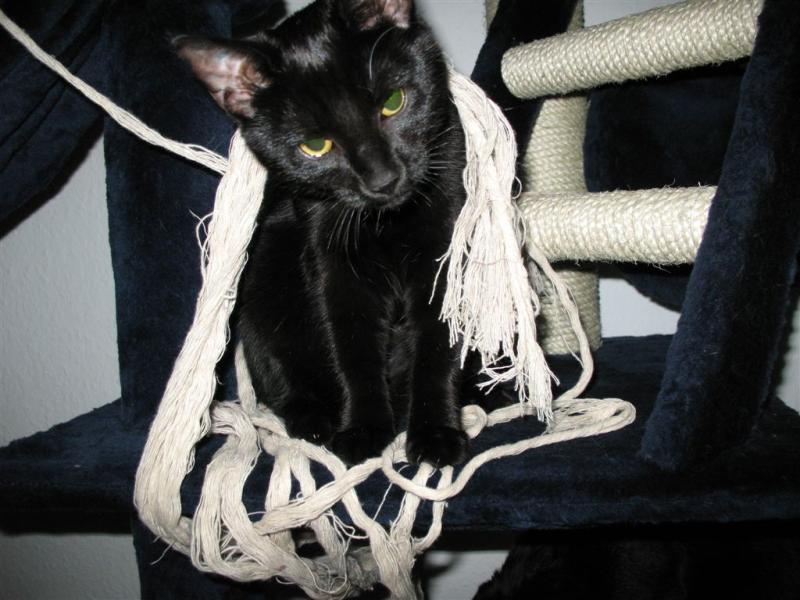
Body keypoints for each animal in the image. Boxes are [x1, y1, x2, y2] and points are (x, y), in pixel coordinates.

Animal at [174, 0, 500, 466]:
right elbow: (351, 346)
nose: (383, 179)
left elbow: (438, 347)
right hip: (264, 278)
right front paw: (363, 430)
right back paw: (313, 418)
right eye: (315, 146)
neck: (386, 220)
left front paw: (435, 434)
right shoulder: (334, 264)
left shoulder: (445, 250)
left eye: (393, 102)